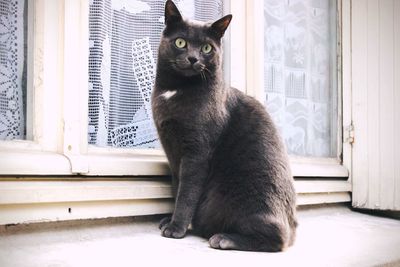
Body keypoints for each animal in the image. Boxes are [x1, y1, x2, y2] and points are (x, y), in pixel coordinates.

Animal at [151, 0, 296, 252]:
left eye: (207, 48)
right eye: (181, 42)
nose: (193, 58)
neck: (176, 90)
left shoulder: (197, 152)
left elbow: (186, 193)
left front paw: (176, 227)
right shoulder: (173, 153)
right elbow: (177, 187)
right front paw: (170, 220)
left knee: (277, 238)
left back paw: (224, 238)